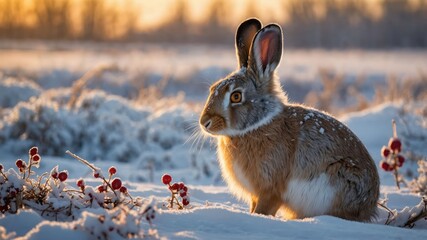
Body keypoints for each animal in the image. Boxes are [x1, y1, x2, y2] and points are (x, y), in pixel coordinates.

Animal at [199, 17, 380, 222]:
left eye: (236, 96)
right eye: (213, 88)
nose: (204, 122)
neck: (256, 125)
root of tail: (369, 206)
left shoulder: (270, 190)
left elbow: (264, 208)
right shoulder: (256, 194)